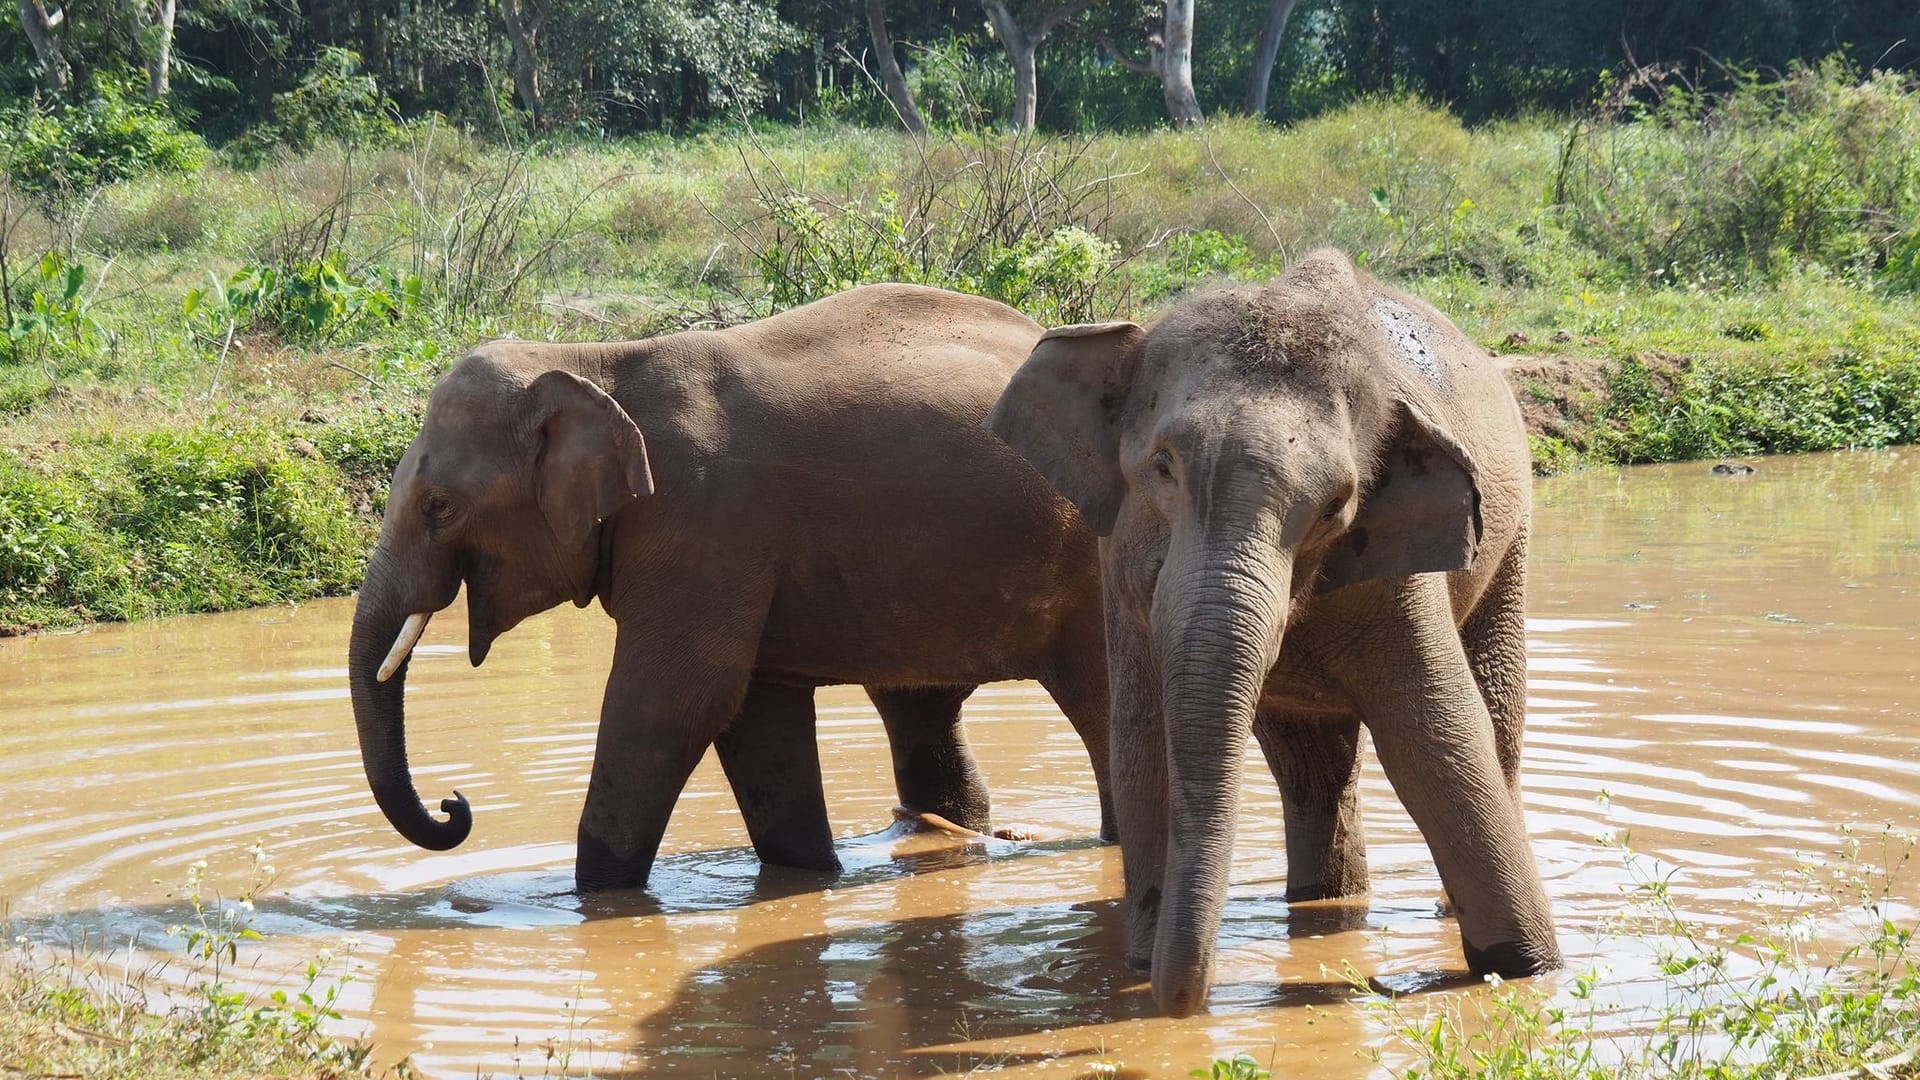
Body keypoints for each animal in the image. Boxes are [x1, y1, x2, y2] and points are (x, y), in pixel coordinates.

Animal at [353, 278, 1121, 891]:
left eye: (439, 507)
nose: (455, 804)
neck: (592, 360)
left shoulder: (704, 521)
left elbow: (674, 700)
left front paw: (592, 901)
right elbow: (756, 711)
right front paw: (808, 877)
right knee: (919, 709)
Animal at [990, 247, 1559, 1014]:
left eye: (1336, 505)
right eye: (1163, 468)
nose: (1187, 1002)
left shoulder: (1397, 570)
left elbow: (1436, 736)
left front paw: (1527, 969)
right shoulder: (1118, 568)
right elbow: (1143, 740)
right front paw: (1137, 967)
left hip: (1512, 541)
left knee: (1492, 718)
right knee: (1308, 766)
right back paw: (1321, 901)